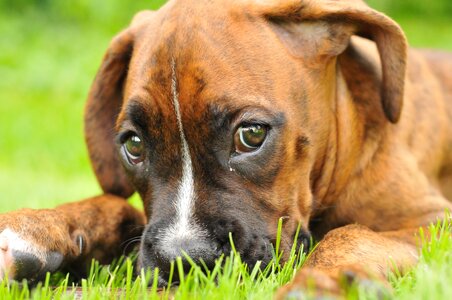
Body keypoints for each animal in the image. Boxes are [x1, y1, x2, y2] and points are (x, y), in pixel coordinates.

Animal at [0, 0, 452, 296]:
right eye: (134, 145)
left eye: (251, 134)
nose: (181, 261)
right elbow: (115, 206)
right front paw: (36, 228)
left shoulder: (431, 221)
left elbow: (352, 235)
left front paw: (319, 282)